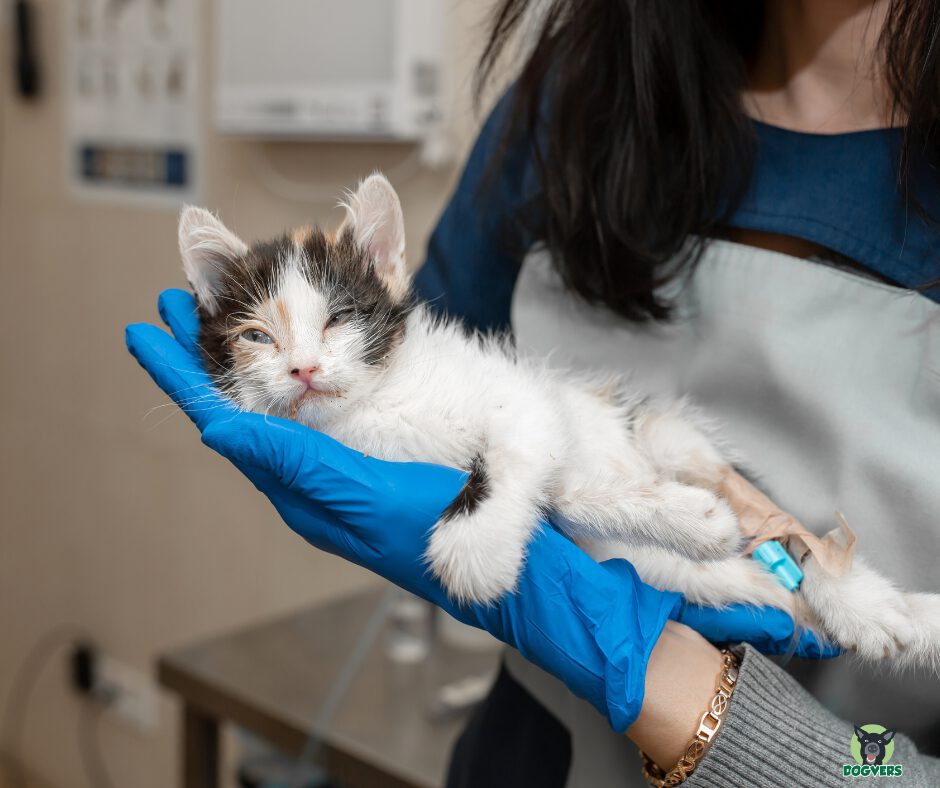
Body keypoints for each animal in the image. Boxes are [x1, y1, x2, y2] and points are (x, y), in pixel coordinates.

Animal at [178, 174, 940, 672]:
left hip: (667, 430)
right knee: (762, 576)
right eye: (256, 337)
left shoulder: (522, 399)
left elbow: (512, 461)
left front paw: (476, 548)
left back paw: (863, 603)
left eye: (338, 319)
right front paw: (691, 521)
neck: (376, 406)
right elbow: (569, 497)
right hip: (702, 578)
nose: (303, 369)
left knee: (788, 532)